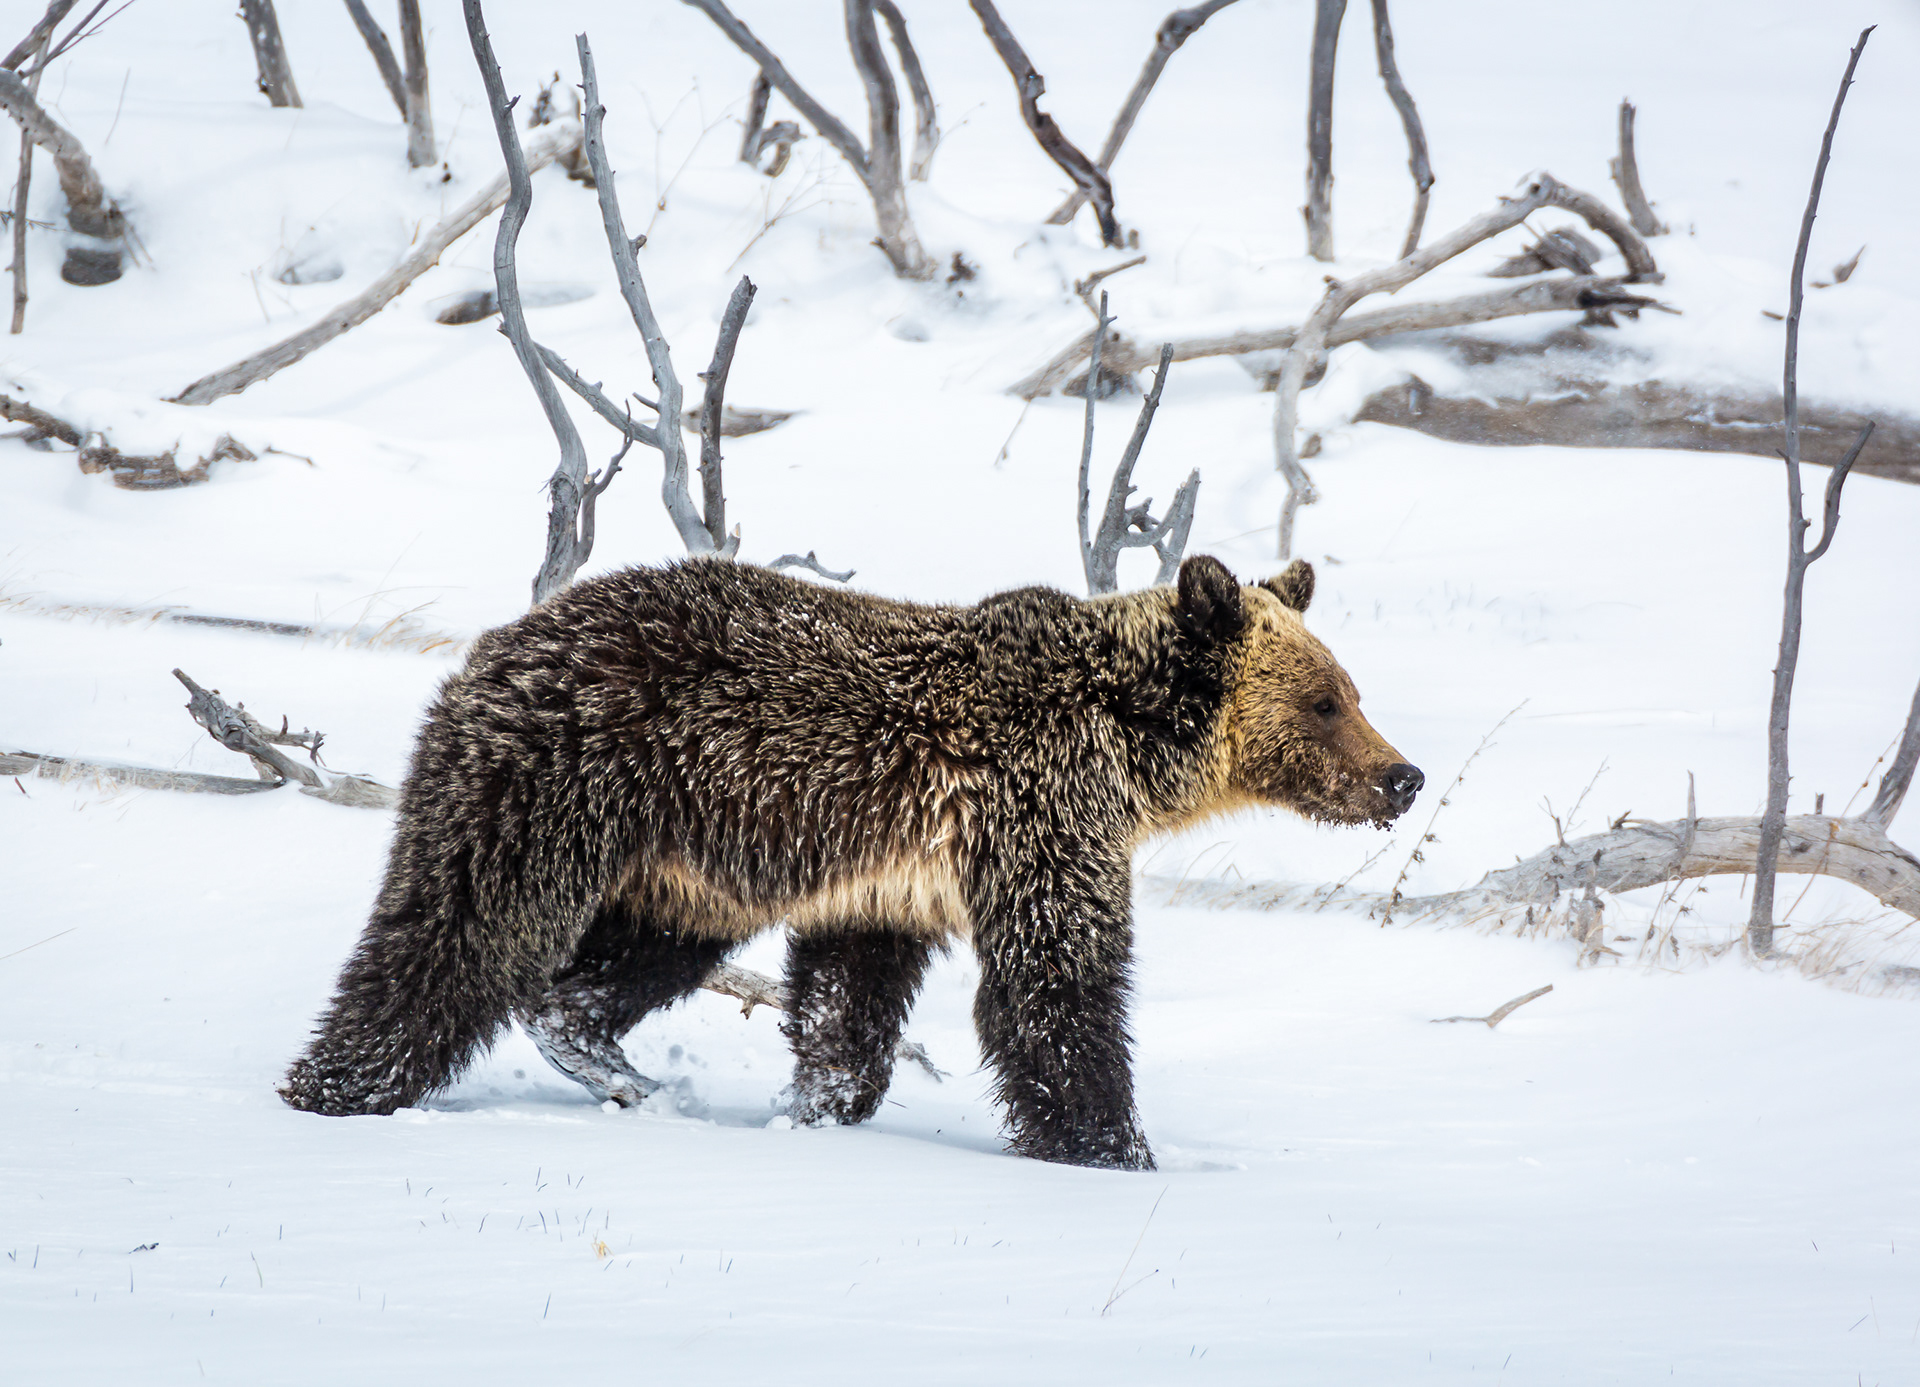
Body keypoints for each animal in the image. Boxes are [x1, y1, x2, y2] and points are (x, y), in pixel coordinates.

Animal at [280, 554, 1422, 1170]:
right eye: (1325, 699)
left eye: (1352, 688)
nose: (1402, 775)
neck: (1131, 746)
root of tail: (494, 644)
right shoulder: (1037, 811)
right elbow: (1055, 990)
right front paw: (1117, 1146)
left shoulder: (892, 876)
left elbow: (848, 1003)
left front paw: (816, 1109)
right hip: (557, 782)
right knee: (461, 927)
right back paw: (336, 1085)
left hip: (681, 863)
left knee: (621, 959)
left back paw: (611, 1060)